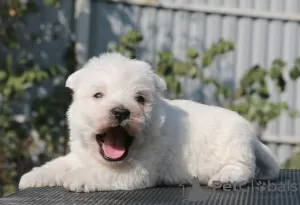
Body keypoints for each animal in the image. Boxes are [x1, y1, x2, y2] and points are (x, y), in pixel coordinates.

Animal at [18, 52, 280, 192]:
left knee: (246, 169)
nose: (121, 111)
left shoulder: (137, 172)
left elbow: (99, 173)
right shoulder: (80, 155)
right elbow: (59, 163)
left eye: (140, 99)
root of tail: (252, 137)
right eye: (98, 95)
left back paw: (224, 177)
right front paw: (33, 176)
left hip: (234, 148)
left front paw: (76, 178)